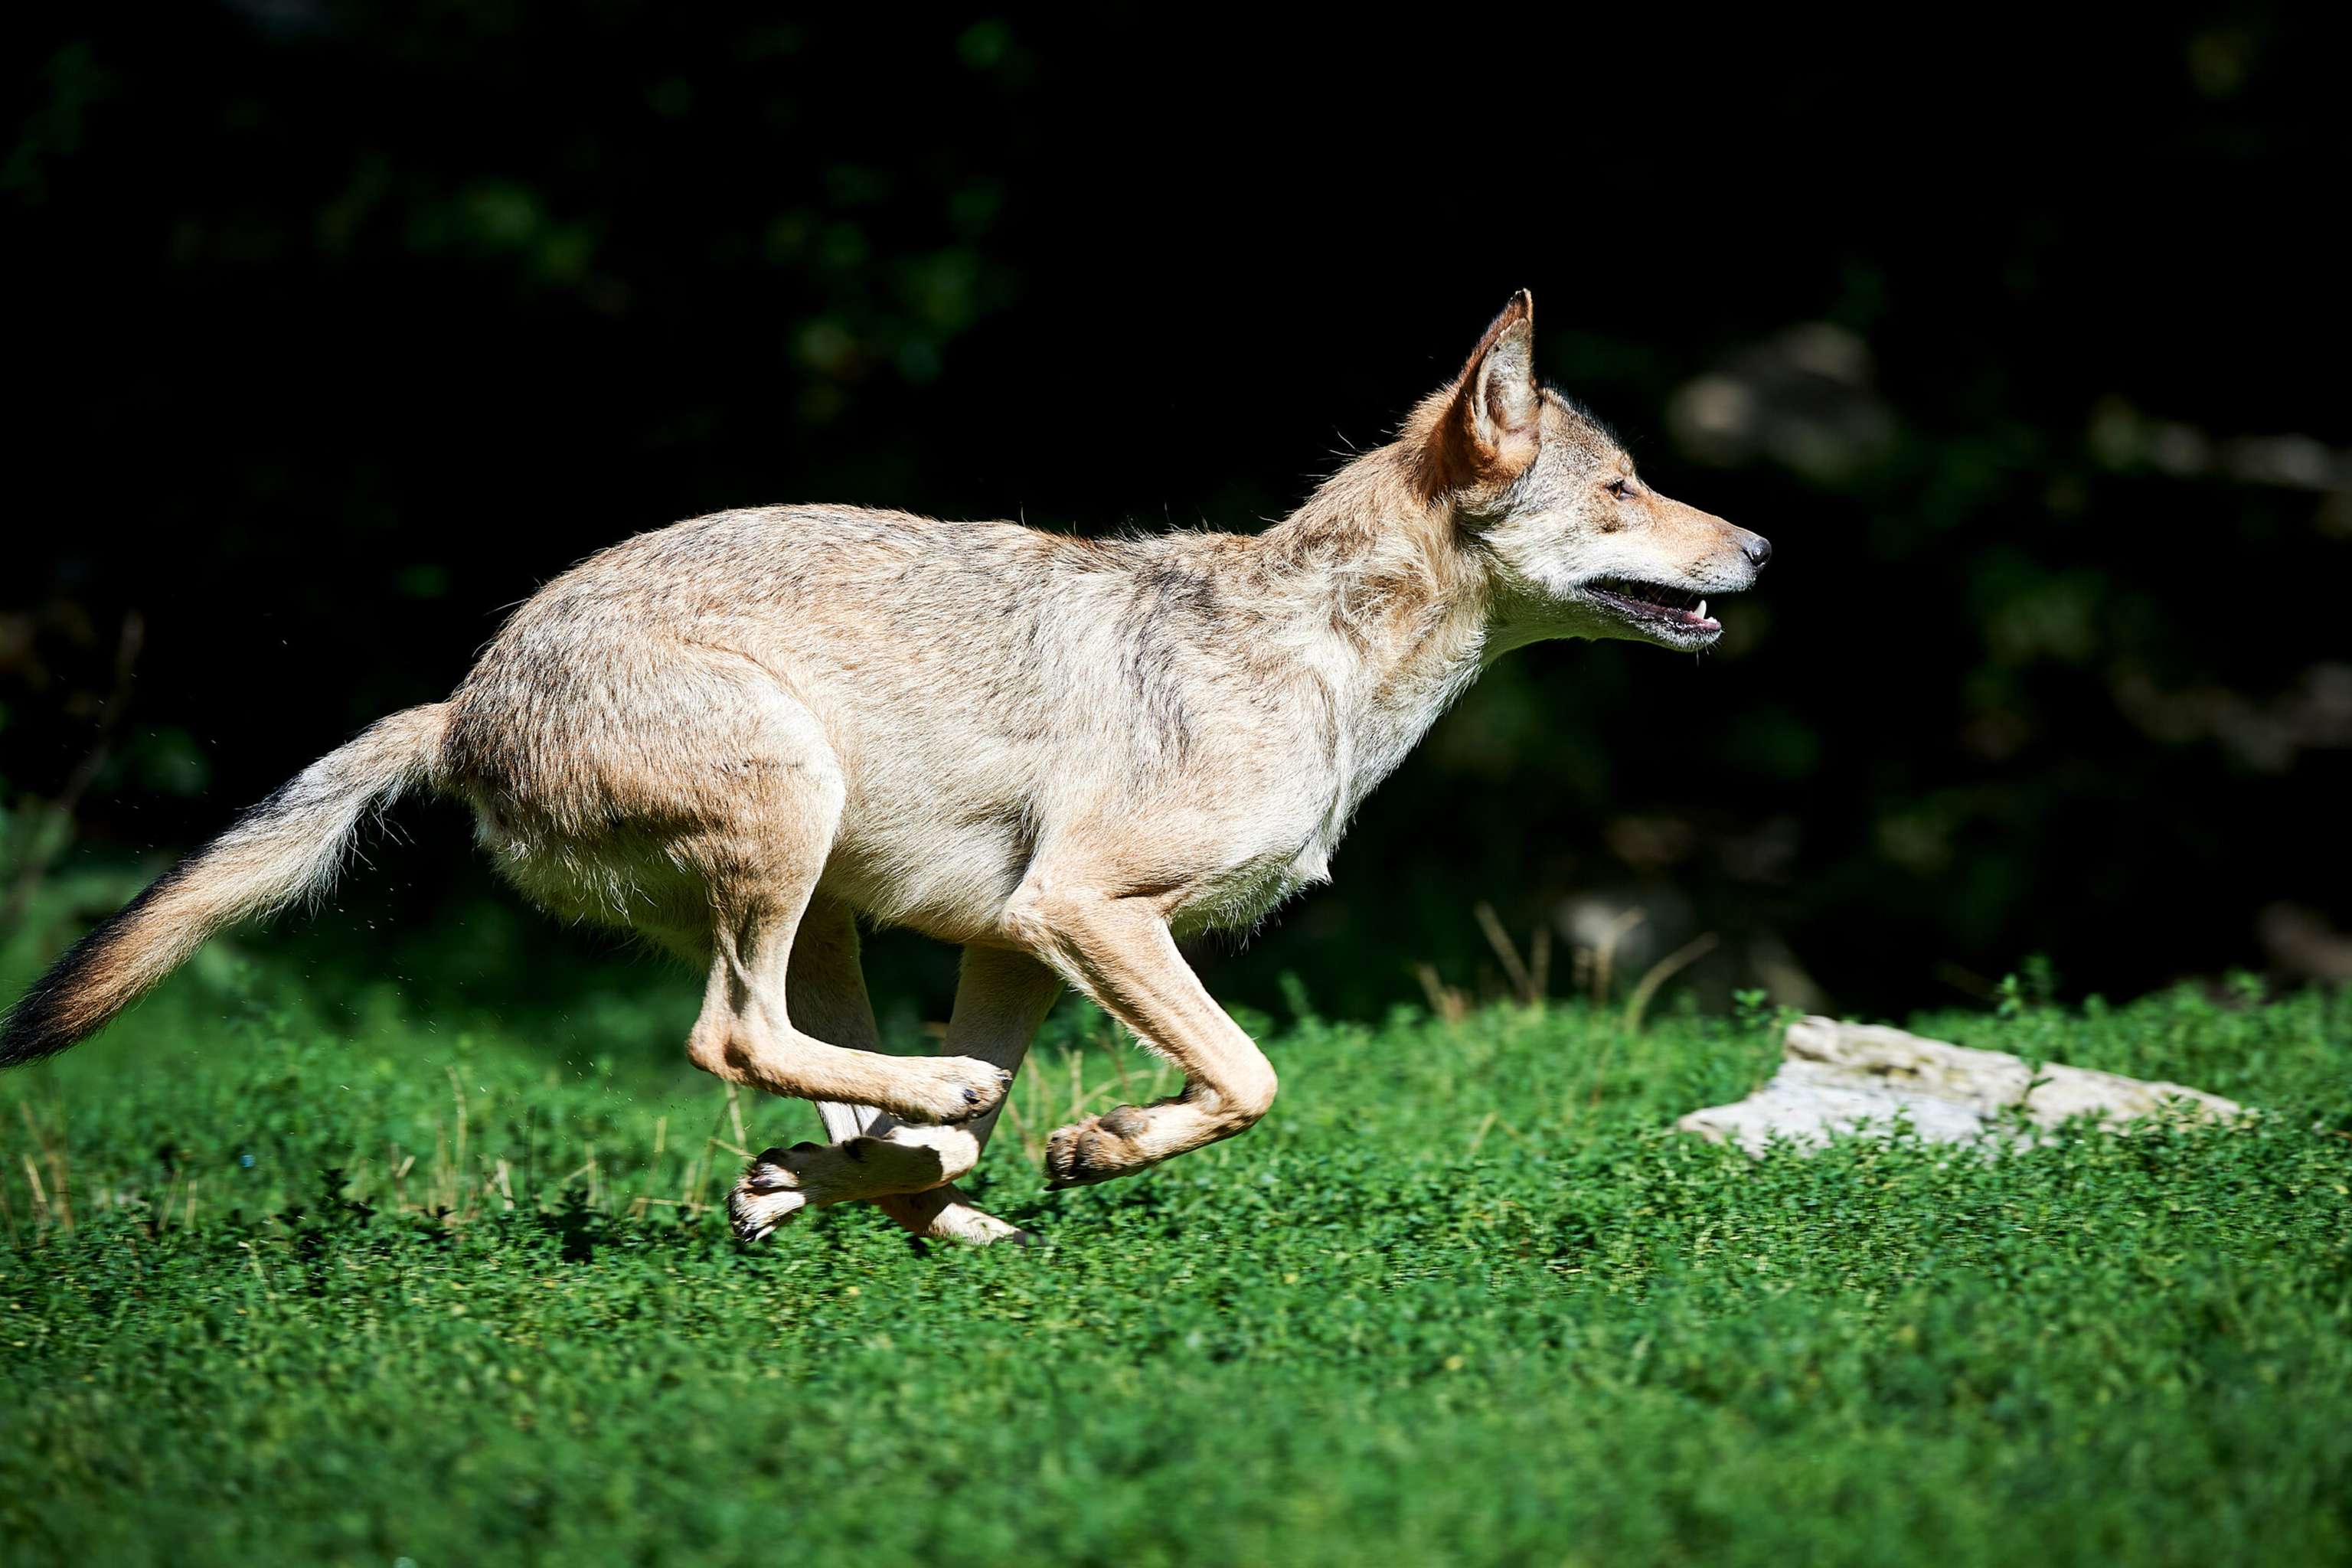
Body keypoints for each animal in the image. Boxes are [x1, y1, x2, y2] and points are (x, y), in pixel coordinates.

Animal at [1, 292, 1769, 1245]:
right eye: (1624, 487)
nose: (1762, 546)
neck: (1318, 654)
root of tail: (463, 699)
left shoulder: (1022, 945)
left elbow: (1033, 1116)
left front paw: (879, 1180)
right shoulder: (1090, 914)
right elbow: (1254, 1077)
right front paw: (1092, 1146)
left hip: (834, 908)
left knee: (826, 1075)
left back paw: (881, 1177)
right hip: (793, 820)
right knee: (736, 1037)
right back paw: (910, 1141)